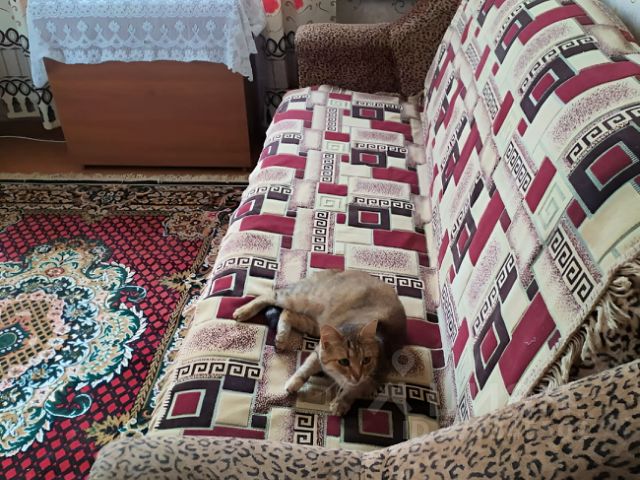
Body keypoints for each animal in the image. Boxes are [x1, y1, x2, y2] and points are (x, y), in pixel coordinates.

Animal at [233, 269, 407, 415]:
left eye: (366, 360)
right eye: (344, 361)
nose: (357, 375)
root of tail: (337, 271)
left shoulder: (373, 380)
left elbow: (353, 391)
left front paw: (341, 403)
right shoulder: (319, 352)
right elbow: (305, 369)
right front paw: (294, 383)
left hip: (314, 325)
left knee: (287, 313)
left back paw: (281, 337)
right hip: (299, 299)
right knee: (269, 295)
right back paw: (243, 311)